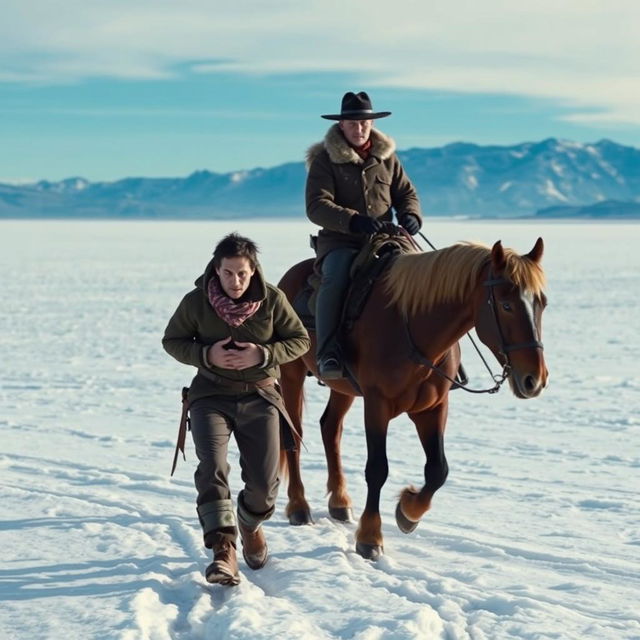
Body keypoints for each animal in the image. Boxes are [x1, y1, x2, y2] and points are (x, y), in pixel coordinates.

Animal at [278, 236, 548, 560]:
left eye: (542, 303)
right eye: (506, 305)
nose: (535, 379)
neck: (412, 327)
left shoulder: (433, 407)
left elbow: (438, 470)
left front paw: (408, 511)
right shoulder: (377, 403)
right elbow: (377, 468)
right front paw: (370, 537)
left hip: (341, 388)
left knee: (330, 428)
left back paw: (340, 502)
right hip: (291, 374)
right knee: (293, 435)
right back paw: (298, 506)